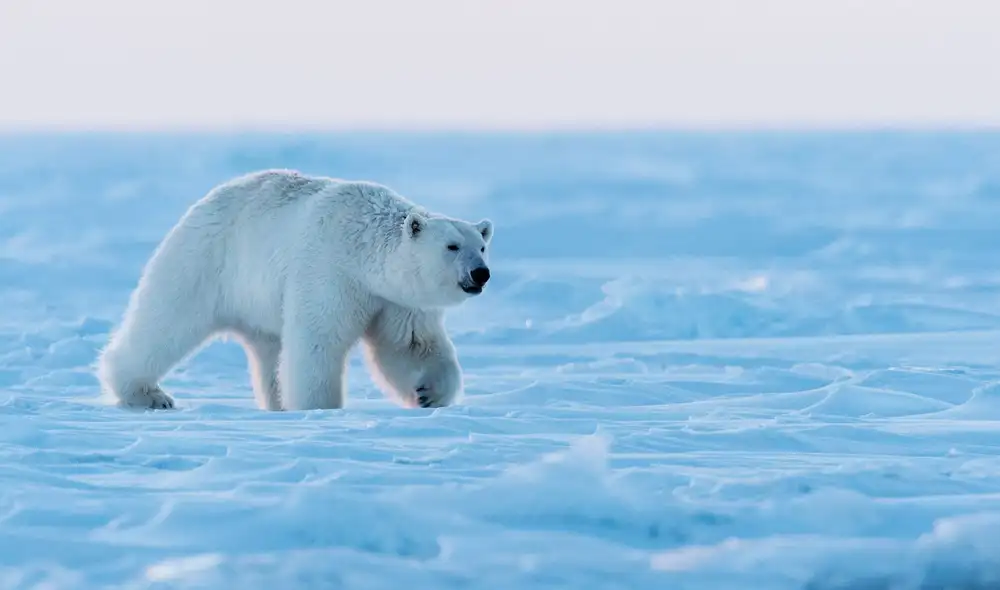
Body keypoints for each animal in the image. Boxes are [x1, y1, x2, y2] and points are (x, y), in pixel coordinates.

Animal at [96, 169, 493, 411]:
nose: (481, 273)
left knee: (269, 351)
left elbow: (411, 344)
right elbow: (317, 341)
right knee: (166, 319)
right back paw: (147, 394)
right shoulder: (330, 271)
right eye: (452, 246)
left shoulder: (396, 299)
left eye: (482, 245)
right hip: (206, 262)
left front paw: (428, 392)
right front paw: (320, 407)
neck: (361, 249)